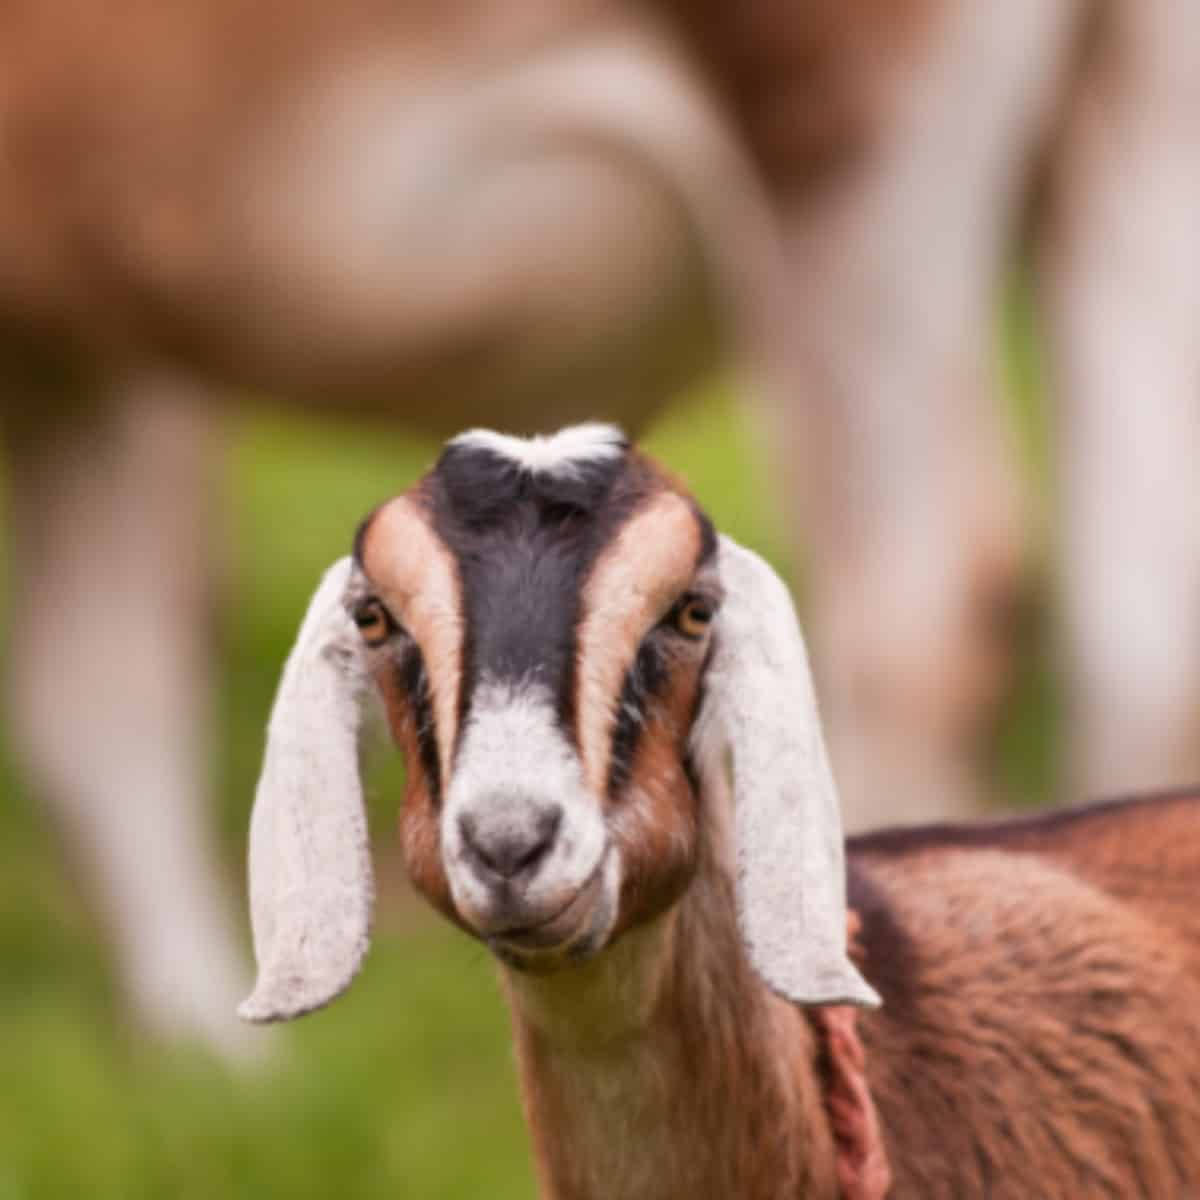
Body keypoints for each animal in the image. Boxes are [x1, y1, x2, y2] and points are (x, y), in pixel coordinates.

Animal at [2, 0, 1200, 1051]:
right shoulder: (91, 346)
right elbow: (100, 692)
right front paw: (214, 1058)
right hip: (1132, 125)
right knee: (1138, 624)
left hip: (842, 136)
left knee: (929, 604)